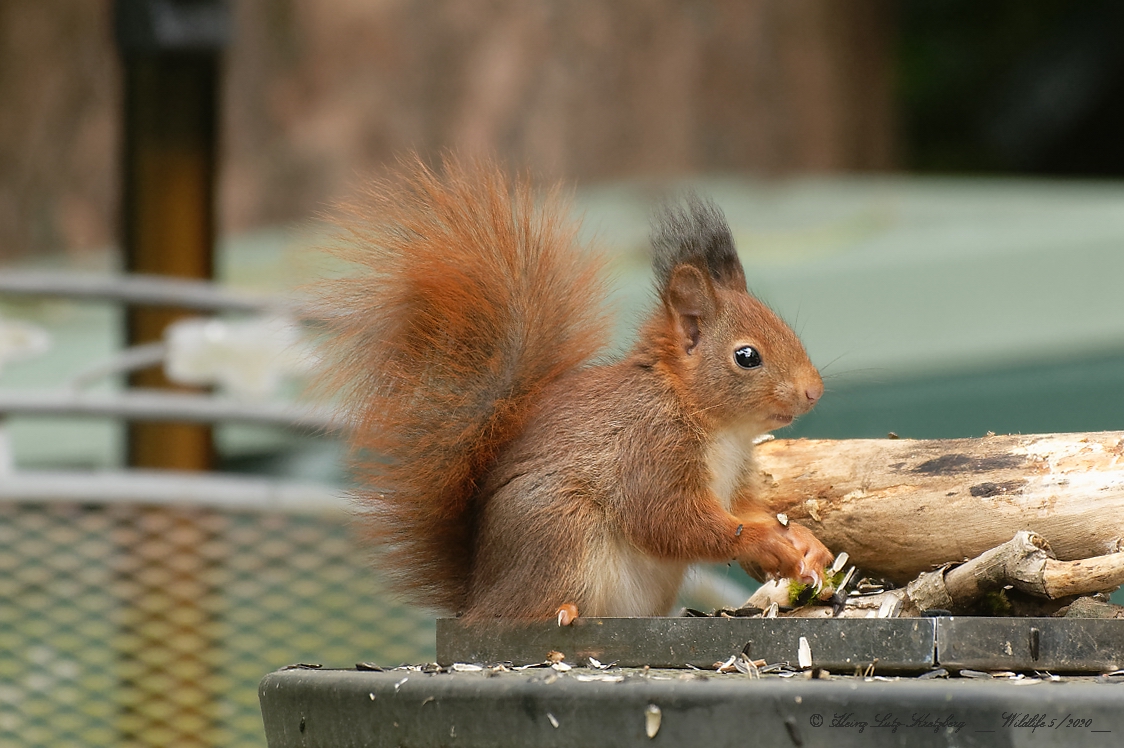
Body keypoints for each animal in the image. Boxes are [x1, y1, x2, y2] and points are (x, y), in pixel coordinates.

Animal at [321, 154, 831, 620]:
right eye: (747, 357)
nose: (814, 392)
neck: (712, 421)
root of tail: (478, 597)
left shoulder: (733, 478)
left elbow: (746, 509)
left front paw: (805, 542)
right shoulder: (649, 451)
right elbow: (670, 521)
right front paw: (765, 542)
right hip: (560, 528)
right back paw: (562, 612)